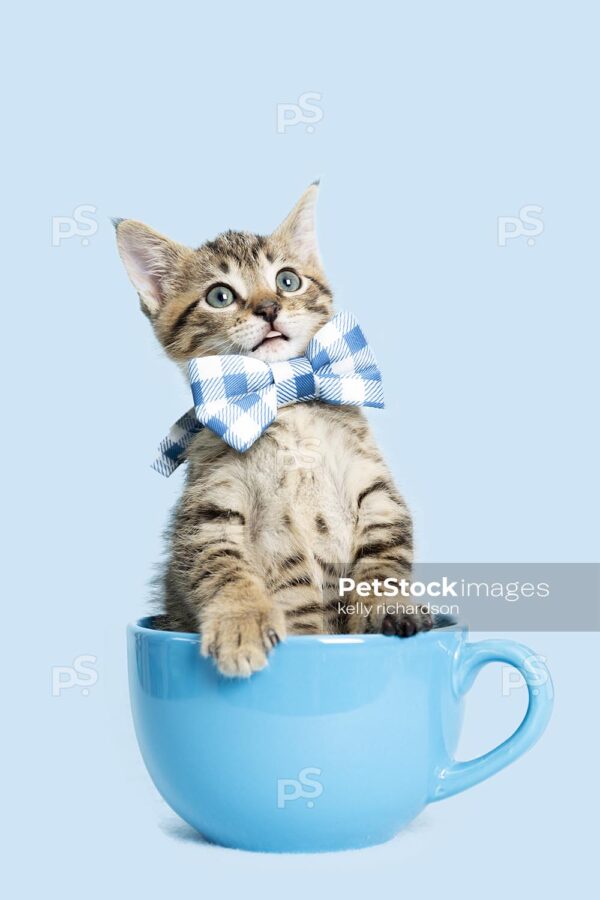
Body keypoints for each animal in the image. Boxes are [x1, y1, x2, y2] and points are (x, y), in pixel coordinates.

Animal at [115, 183, 432, 676]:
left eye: (287, 280)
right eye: (220, 296)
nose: (268, 308)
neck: (284, 403)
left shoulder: (373, 487)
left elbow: (385, 556)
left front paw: (389, 606)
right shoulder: (209, 509)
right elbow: (221, 567)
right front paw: (241, 622)